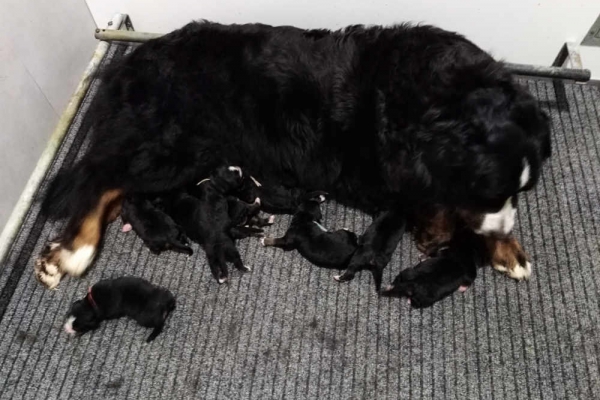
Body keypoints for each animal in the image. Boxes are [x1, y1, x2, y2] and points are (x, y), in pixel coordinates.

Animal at [36, 20, 548, 288]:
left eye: (520, 190)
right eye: (486, 192)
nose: (502, 230)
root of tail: (135, 60)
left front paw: (507, 247)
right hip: (176, 146)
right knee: (105, 180)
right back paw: (72, 253)